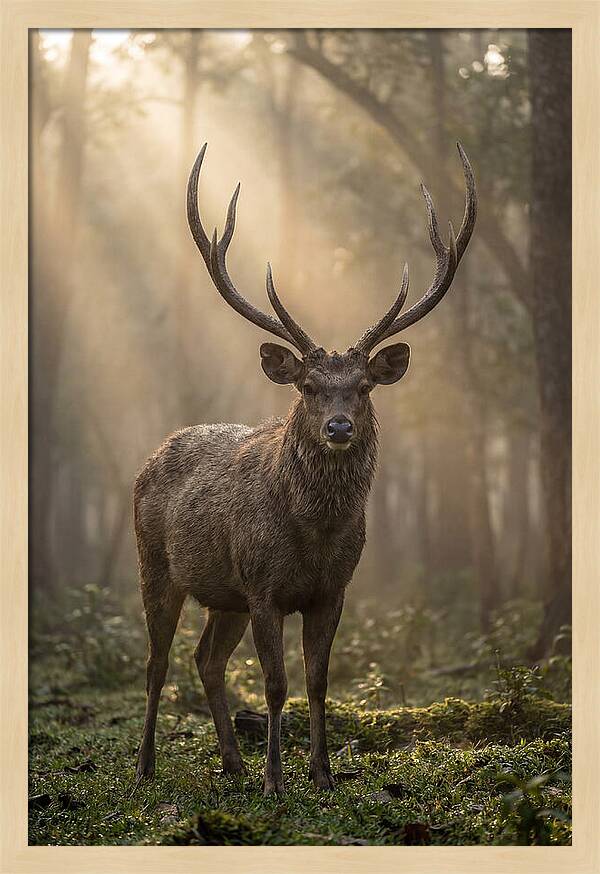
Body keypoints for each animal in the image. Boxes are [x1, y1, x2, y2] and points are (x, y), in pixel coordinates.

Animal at [134, 142, 476, 794]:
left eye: (364, 387)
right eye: (311, 387)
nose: (339, 428)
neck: (312, 536)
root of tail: (152, 455)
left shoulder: (332, 589)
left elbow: (318, 681)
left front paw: (321, 773)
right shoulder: (263, 585)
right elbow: (276, 684)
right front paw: (276, 780)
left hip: (224, 594)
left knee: (206, 659)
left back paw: (232, 763)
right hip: (156, 564)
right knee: (158, 661)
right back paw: (145, 766)